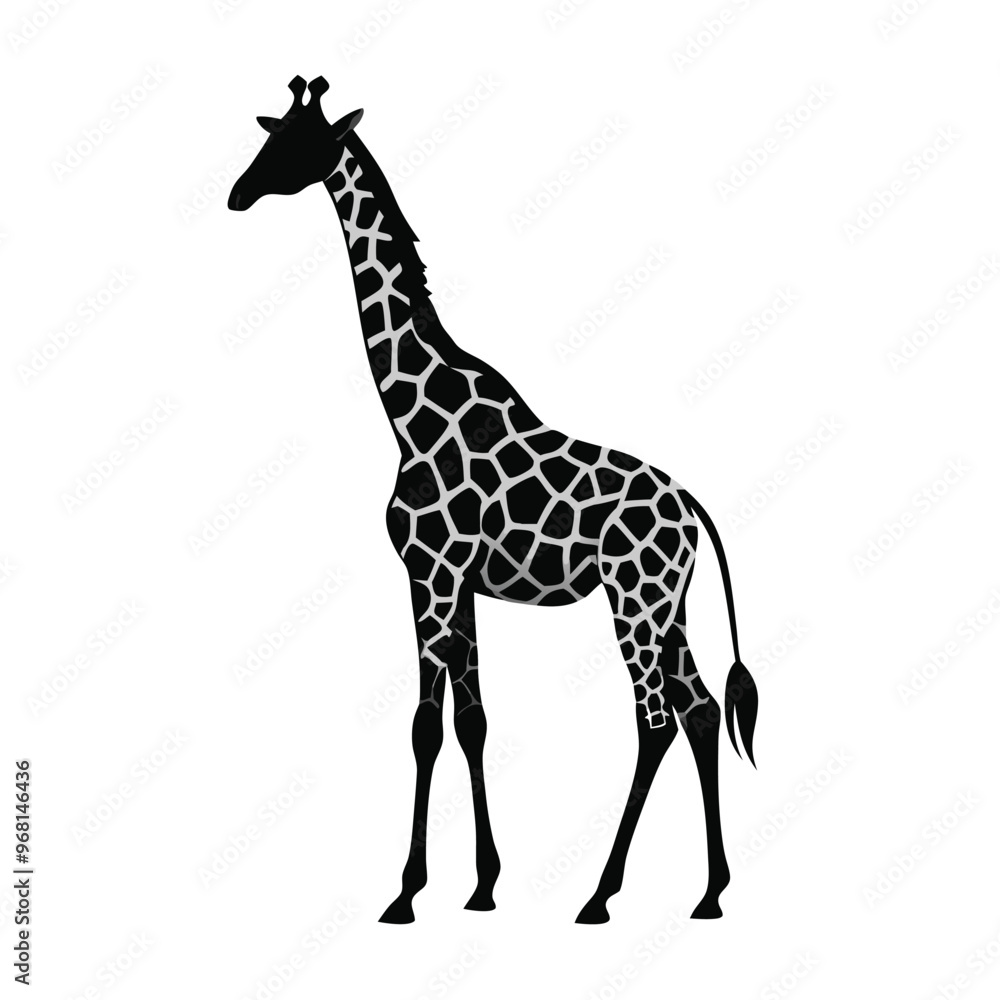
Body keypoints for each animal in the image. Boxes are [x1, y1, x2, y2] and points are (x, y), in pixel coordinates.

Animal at [228, 76, 759, 924]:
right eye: (269, 134)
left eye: (294, 144)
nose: (237, 193)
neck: (408, 413)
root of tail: (693, 511)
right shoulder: (459, 585)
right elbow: (472, 721)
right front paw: (481, 886)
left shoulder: (431, 574)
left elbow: (424, 723)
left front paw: (405, 894)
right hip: (668, 602)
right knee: (702, 710)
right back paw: (708, 893)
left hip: (633, 598)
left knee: (653, 720)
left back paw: (599, 895)